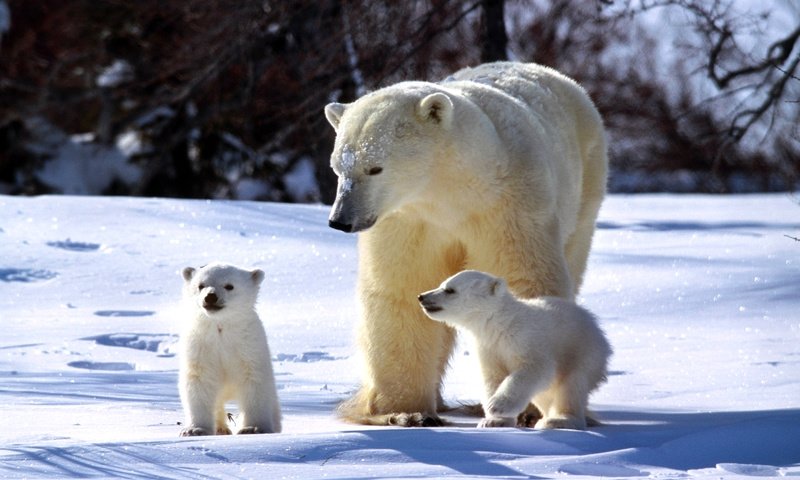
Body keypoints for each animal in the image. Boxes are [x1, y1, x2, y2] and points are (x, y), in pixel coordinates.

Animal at [324, 62, 608, 426]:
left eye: (375, 168)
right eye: (337, 167)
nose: (340, 220)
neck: (452, 192)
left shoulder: (507, 206)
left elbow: (522, 276)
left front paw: (525, 410)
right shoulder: (408, 221)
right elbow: (402, 288)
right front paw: (405, 412)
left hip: (585, 187)